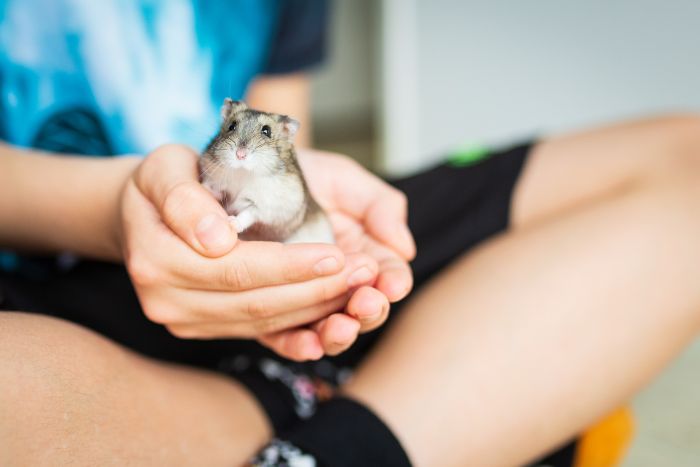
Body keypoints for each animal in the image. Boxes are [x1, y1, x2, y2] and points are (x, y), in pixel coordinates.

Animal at [199, 99, 335, 244]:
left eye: (266, 131)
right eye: (231, 126)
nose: (240, 155)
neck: (243, 172)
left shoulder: (264, 206)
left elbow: (248, 214)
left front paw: (232, 223)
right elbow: (213, 188)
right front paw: (209, 189)